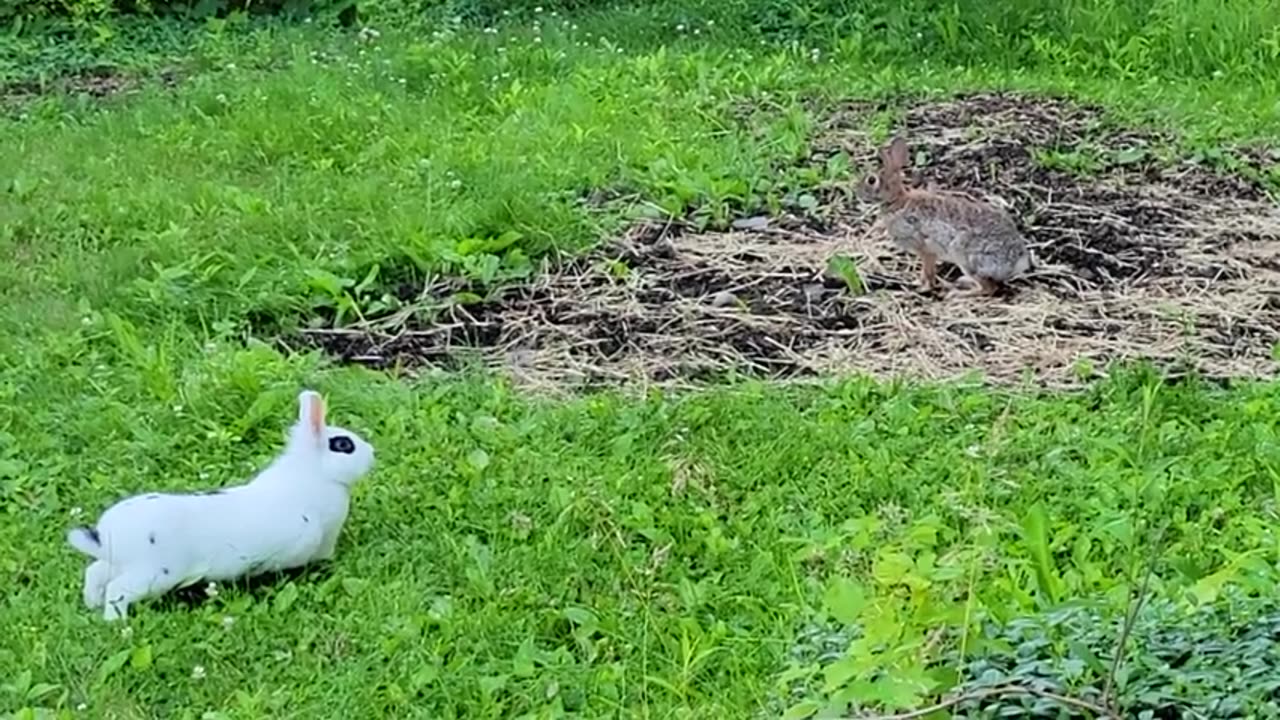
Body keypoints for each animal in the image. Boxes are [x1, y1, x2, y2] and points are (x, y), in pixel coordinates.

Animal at [68, 389, 373, 620]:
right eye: (344, 445)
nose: (372, 453)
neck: (315, 472)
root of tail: (108, 537)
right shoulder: (322, 541)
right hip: (154, 573)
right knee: (117, 590)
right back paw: (117, 623)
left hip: (119, 565)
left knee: (94, 574)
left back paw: (92, 605)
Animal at [855, 134, 1034, 294]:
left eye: (871, 180)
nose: (857, 191)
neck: (898, 201)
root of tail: (1018, 260)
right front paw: (918, 282)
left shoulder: (924, 248)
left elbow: (928, 271)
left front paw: (923, 287)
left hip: (965, 257)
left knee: (988, 289)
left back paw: (958, 294)